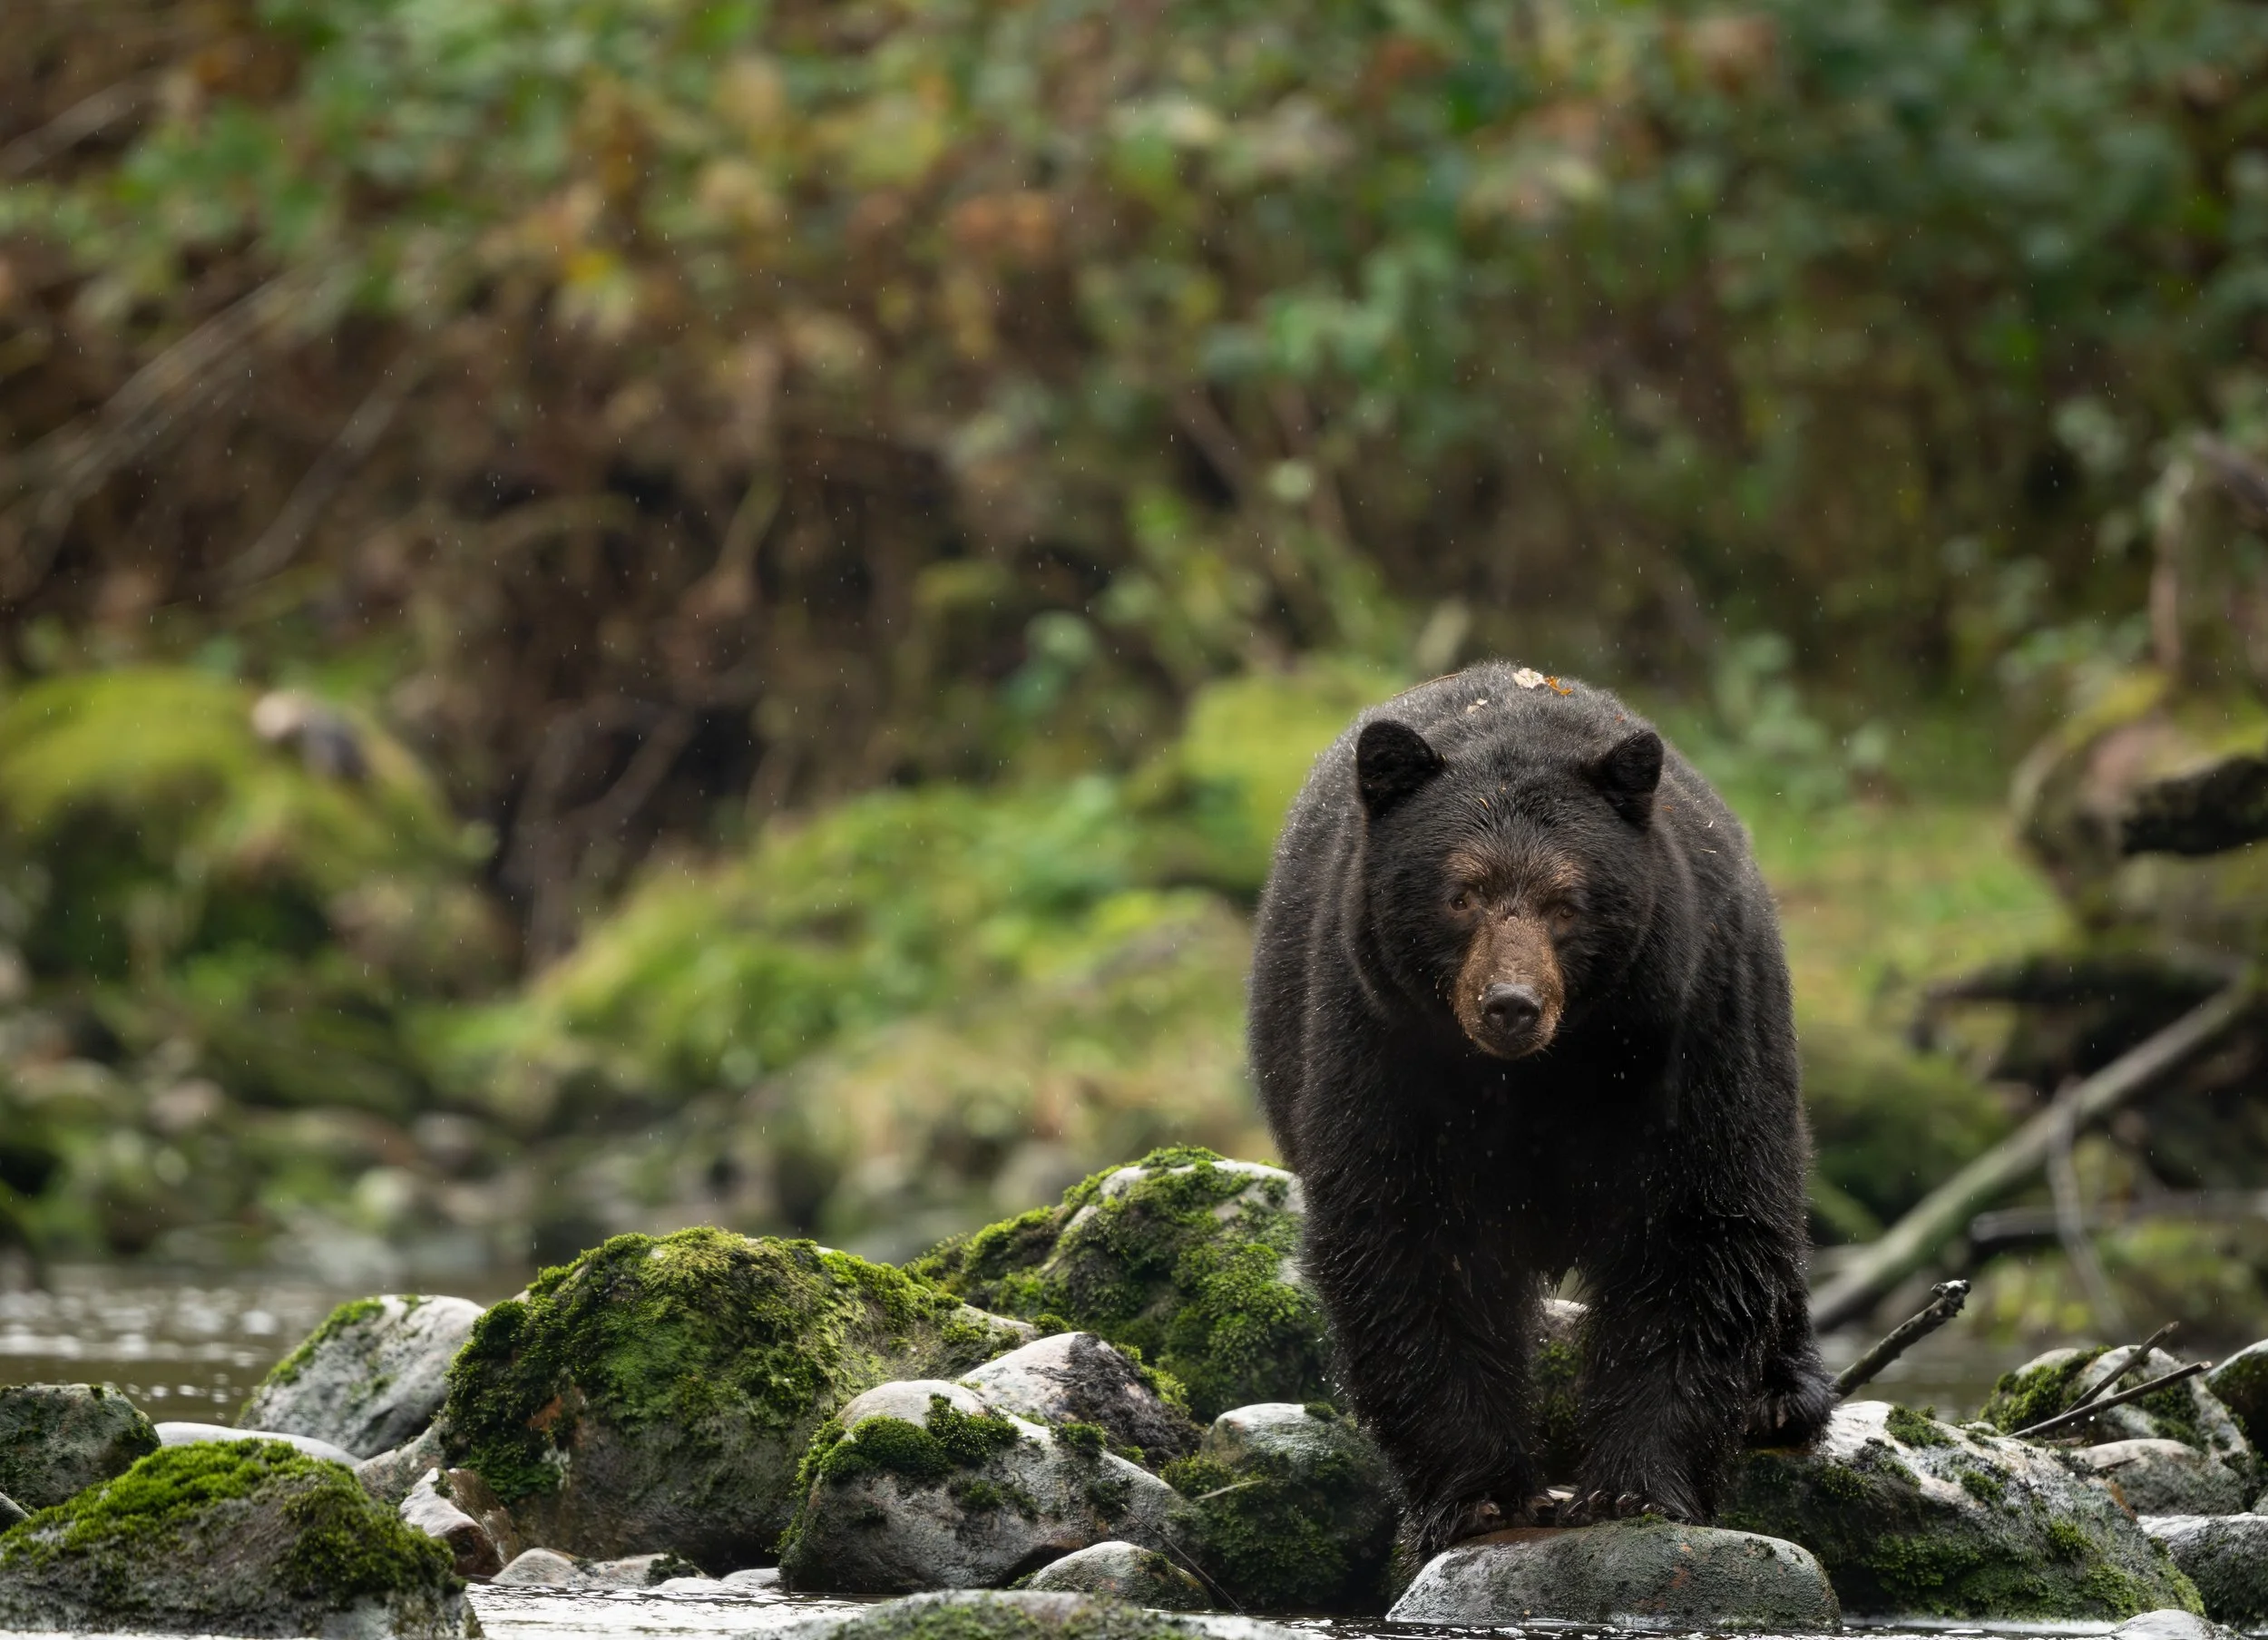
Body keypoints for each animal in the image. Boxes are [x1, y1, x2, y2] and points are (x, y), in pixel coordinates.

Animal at [1247, 662, 1834, 1556]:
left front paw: (1636, 1484)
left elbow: (1698, 1225)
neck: (1545, 1075)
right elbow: (1410, 1239)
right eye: (1462, 894)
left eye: (1568, 901)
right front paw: (1484, 1494)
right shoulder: (1382, 1044)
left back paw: (1784, 1390)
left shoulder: (1692, 1028)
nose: (1511, 1005)